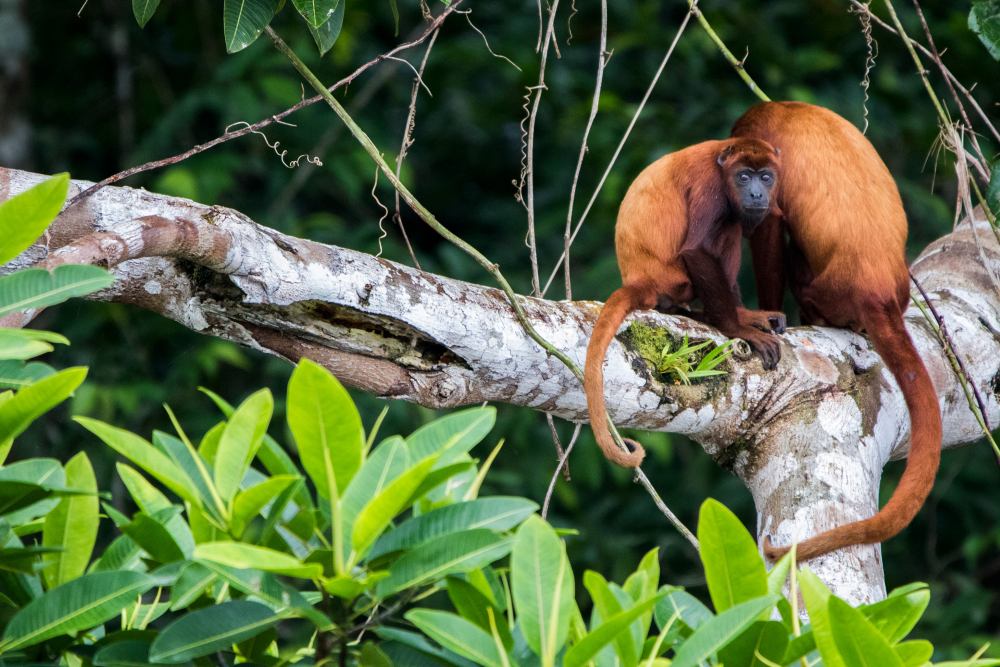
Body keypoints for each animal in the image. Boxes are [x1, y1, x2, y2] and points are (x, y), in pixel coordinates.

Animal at [584, 138, 787, 468]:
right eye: (744, 177)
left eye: (766, 177)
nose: (757, 193)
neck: (722, 161)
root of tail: (639, 280)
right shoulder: (709, 185)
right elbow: (698, 249)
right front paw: (737, 328)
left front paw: (745, 317)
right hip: (674, 281)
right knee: (729, 226)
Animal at [731, 100, 942, 561]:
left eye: (754, 178)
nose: (748, 191)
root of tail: (880, 295)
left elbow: (770, 223)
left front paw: (769, 315)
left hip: (826, 291)